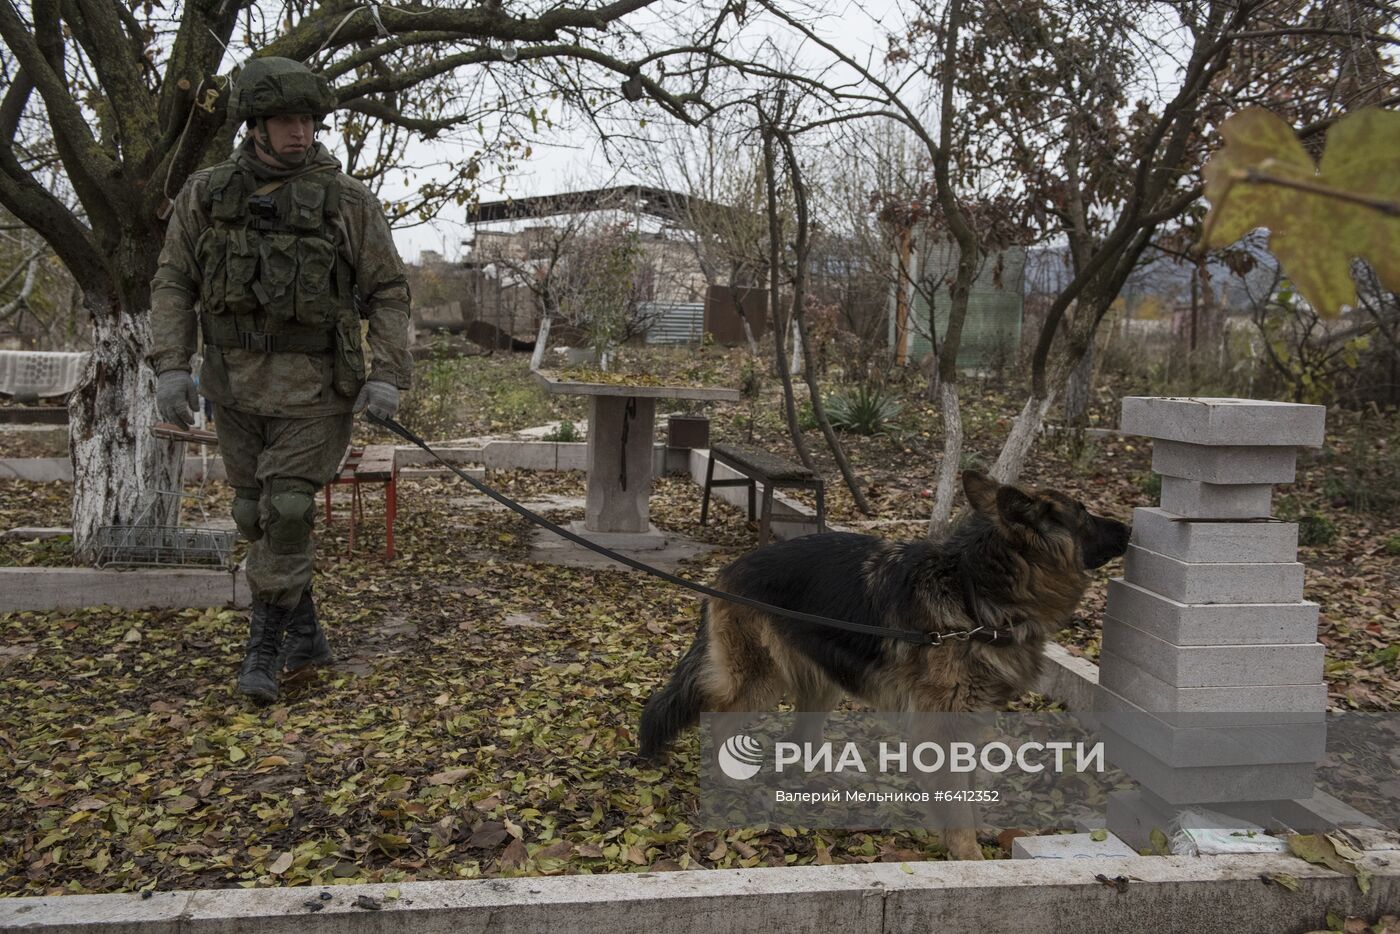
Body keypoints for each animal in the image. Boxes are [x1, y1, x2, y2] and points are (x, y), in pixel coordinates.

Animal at [641, 470, 1131, 856]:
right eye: (1084, 514)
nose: (1129, 528)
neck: (978, 594)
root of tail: (727, 572)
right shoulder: (940, 727)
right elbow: (957, 802)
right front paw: (968, 857)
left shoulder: (965, 720)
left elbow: (968, 792)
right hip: (759, 681)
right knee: (720, 720)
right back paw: (733, 785)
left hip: (822, 681)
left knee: (801, 737)